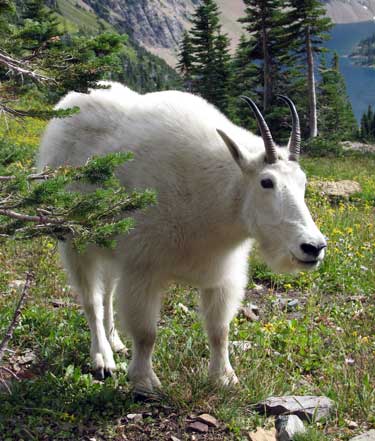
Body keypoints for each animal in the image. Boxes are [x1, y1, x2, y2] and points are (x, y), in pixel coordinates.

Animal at [36, 81, 328, 392]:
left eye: (303, 181)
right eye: (266, 182)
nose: (314, 247)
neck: (213, 194)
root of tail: (66, 104)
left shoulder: (222, 273)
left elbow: (219, 330)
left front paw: (224, 378)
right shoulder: (143, 267)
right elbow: (146, 333)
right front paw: (145, 382)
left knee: (108, 293)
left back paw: (116, 343)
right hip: (73, 238)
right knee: (91, 299)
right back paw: (103, 358)